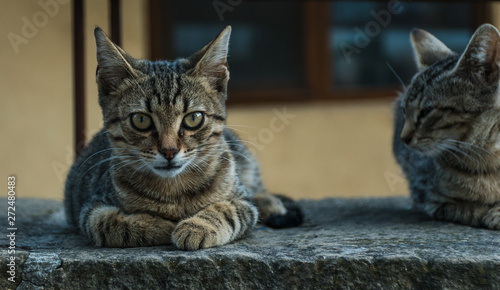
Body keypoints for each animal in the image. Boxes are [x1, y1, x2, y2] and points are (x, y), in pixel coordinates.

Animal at [64, 26, 302, 250]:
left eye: (193, 118)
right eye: (141, 120)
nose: (169, 150)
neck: (174, 192)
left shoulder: (243, 203)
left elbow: (226, 209)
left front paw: (197, 226)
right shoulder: (90, 211)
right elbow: (111, 224)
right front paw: (163, 225)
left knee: (259, 191)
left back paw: (272, 205)